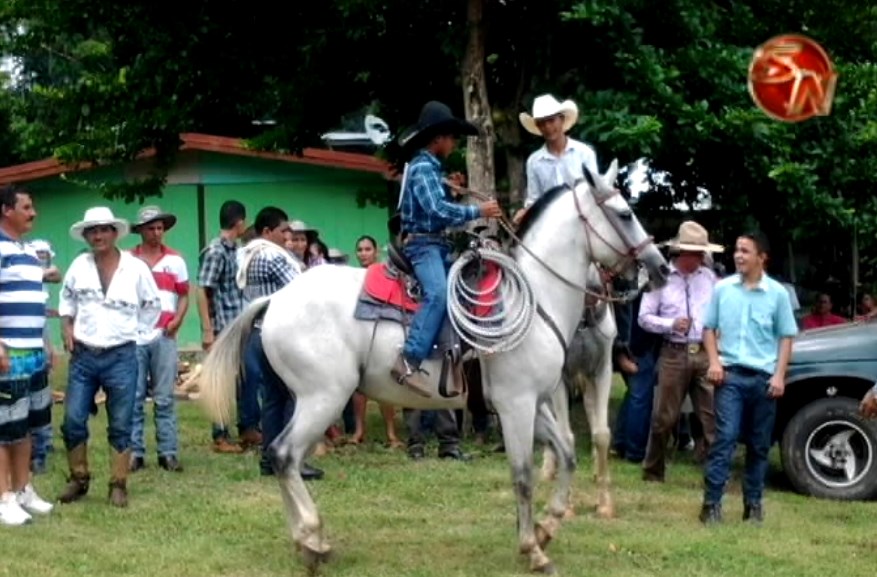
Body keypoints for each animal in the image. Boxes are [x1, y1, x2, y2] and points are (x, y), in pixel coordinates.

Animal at [540, 264, 616, 516]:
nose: (594, 288)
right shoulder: (560, 379)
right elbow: (564, 436)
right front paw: (566, 505)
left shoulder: (602, 371)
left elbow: (602, 433)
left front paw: (604, 504)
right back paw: (548, 469)